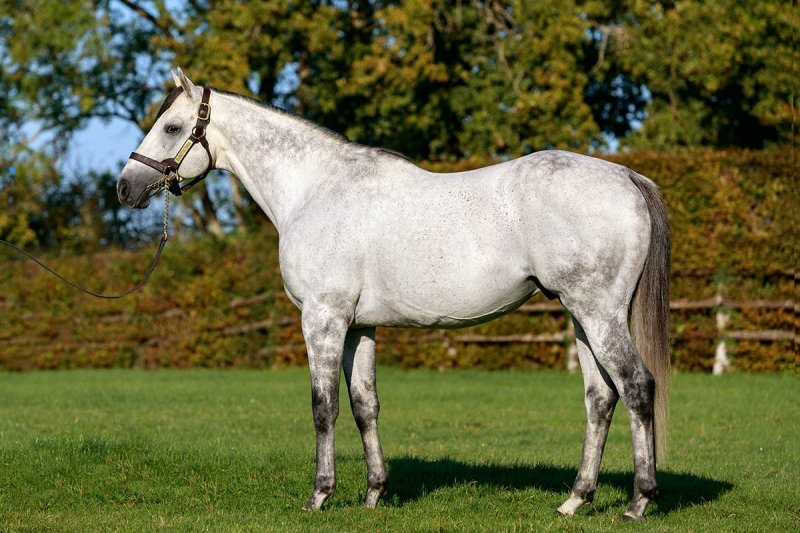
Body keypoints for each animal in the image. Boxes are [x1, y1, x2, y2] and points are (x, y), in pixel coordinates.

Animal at [117, 69, 670, 520]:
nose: (125, 187)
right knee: (600, 398)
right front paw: (374, 493)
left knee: (637, 387)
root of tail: (626, 175)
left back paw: (639, 502)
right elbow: (365, 404)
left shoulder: (323, 319)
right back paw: (575, 500)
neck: (315, 190)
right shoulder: (359, 326)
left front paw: (320, 495)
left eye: (171, 127)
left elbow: (324, 406)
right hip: (581, 316)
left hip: (598, 313)